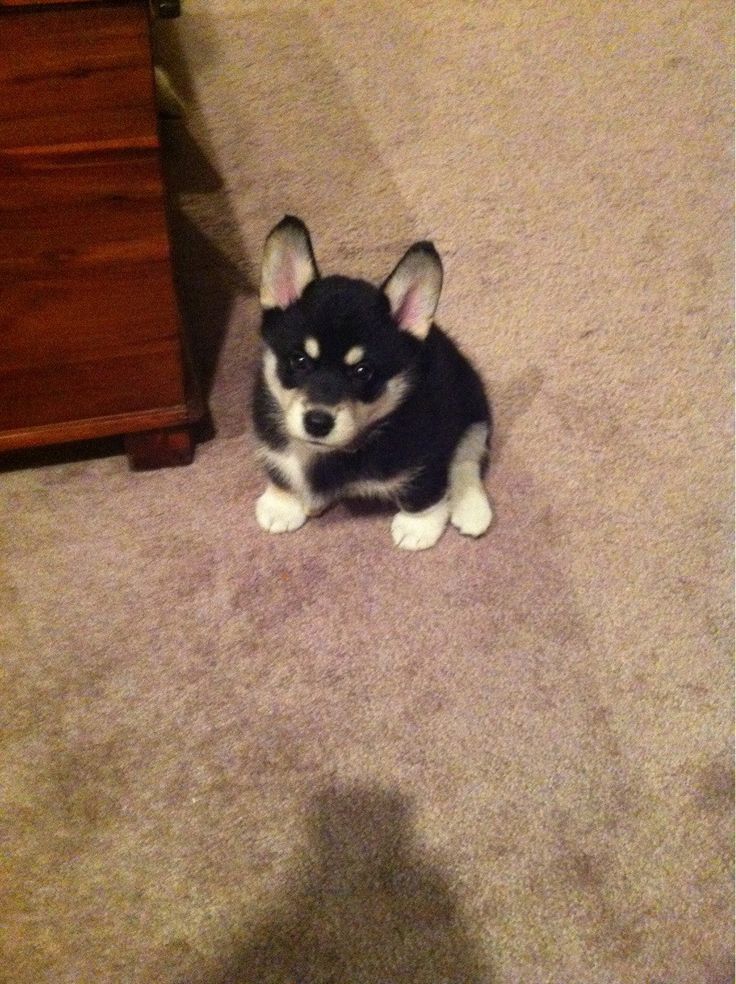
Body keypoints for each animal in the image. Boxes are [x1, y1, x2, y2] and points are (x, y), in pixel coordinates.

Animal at [253, 216, 494, 548]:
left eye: (363, 371)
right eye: (299, 360)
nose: (317, 422)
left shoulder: (425, 457)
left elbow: (423, 491)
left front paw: (419, 527)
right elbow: (280, 468)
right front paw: (282, 504)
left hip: (473, 405)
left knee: (467, 457)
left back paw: (471, 508)